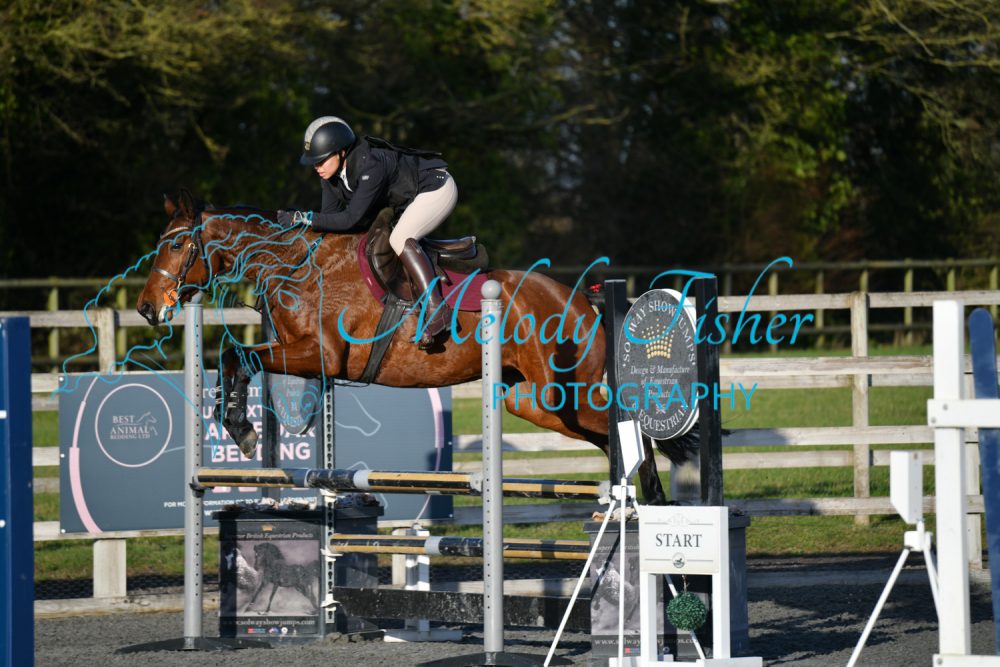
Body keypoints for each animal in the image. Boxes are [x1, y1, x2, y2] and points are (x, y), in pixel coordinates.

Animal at [136, 191, 687, 504]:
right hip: (531, 402)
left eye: (177, 244)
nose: (146, 308)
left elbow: (239, 355)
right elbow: (237, 358)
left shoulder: (323, 356)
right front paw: (240, 427)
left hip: (563, 393)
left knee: (629, 429)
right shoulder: (298, 351)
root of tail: (581, 299)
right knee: (611, 436)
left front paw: (241, 430)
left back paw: (656, 500)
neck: (297, 266)